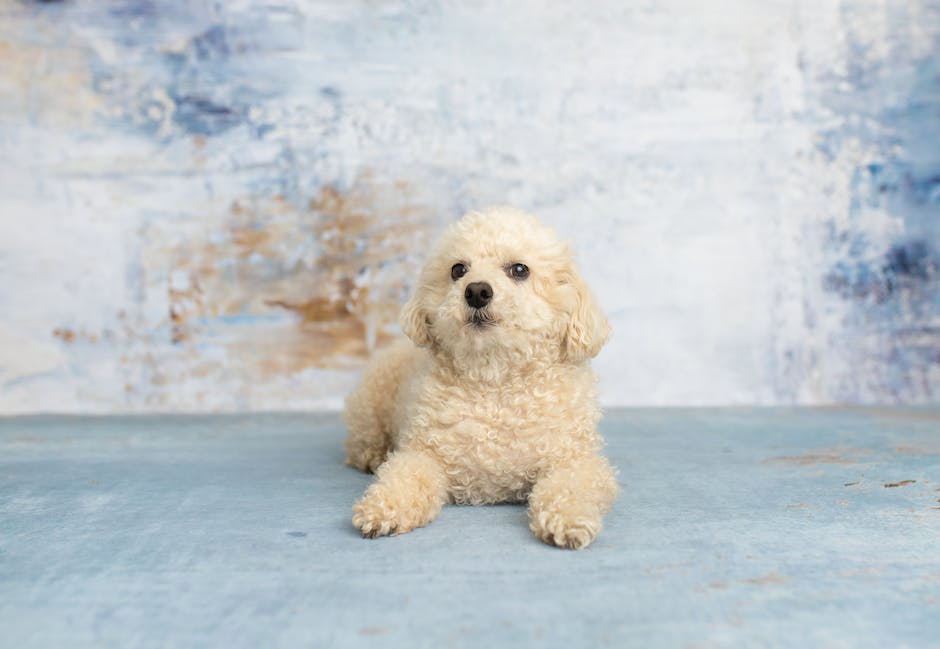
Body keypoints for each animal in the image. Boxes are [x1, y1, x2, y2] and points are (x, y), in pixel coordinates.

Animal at [344, 206, 616, 548]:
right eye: (458, 270)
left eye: (519, 269)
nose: (476, 290)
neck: (495, 380)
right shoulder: (423, 453)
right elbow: (404, 475)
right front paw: (383, 508)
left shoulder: (576, 459)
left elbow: (571, 485)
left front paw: (568, 520)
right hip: (368, 410)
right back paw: (373, 456)